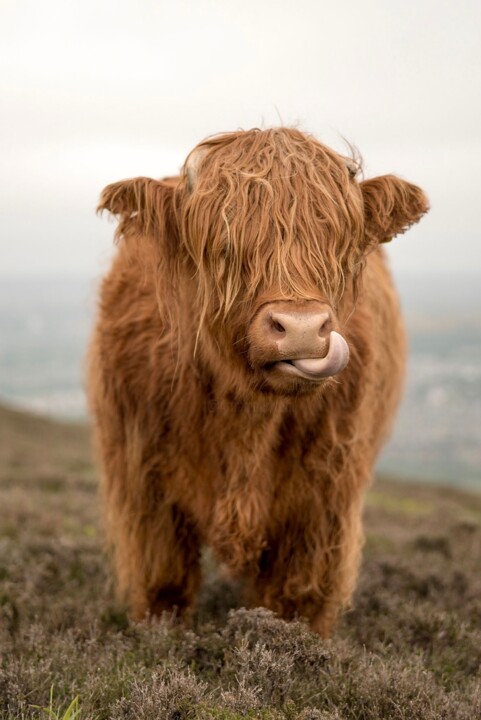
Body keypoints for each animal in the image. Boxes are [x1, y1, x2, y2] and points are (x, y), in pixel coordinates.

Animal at [87, 128, 428, 636]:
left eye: (338, 246)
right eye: (224, 245)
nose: (302, 328)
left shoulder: (322, 507)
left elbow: (295, 603)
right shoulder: (145, 488)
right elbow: (164, 586)